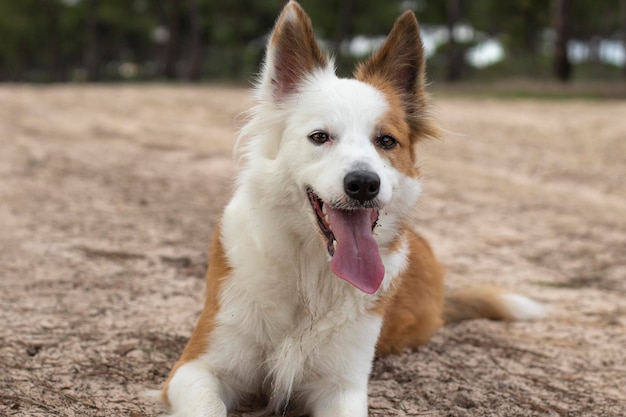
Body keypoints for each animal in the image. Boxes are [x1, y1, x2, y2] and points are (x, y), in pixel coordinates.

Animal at [158, 1, 544, 414]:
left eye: (386, 140)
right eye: (319, 137)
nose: (363, 184)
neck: (309, 275)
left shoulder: (342, 386)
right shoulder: (196, 367)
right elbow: (207, 404)